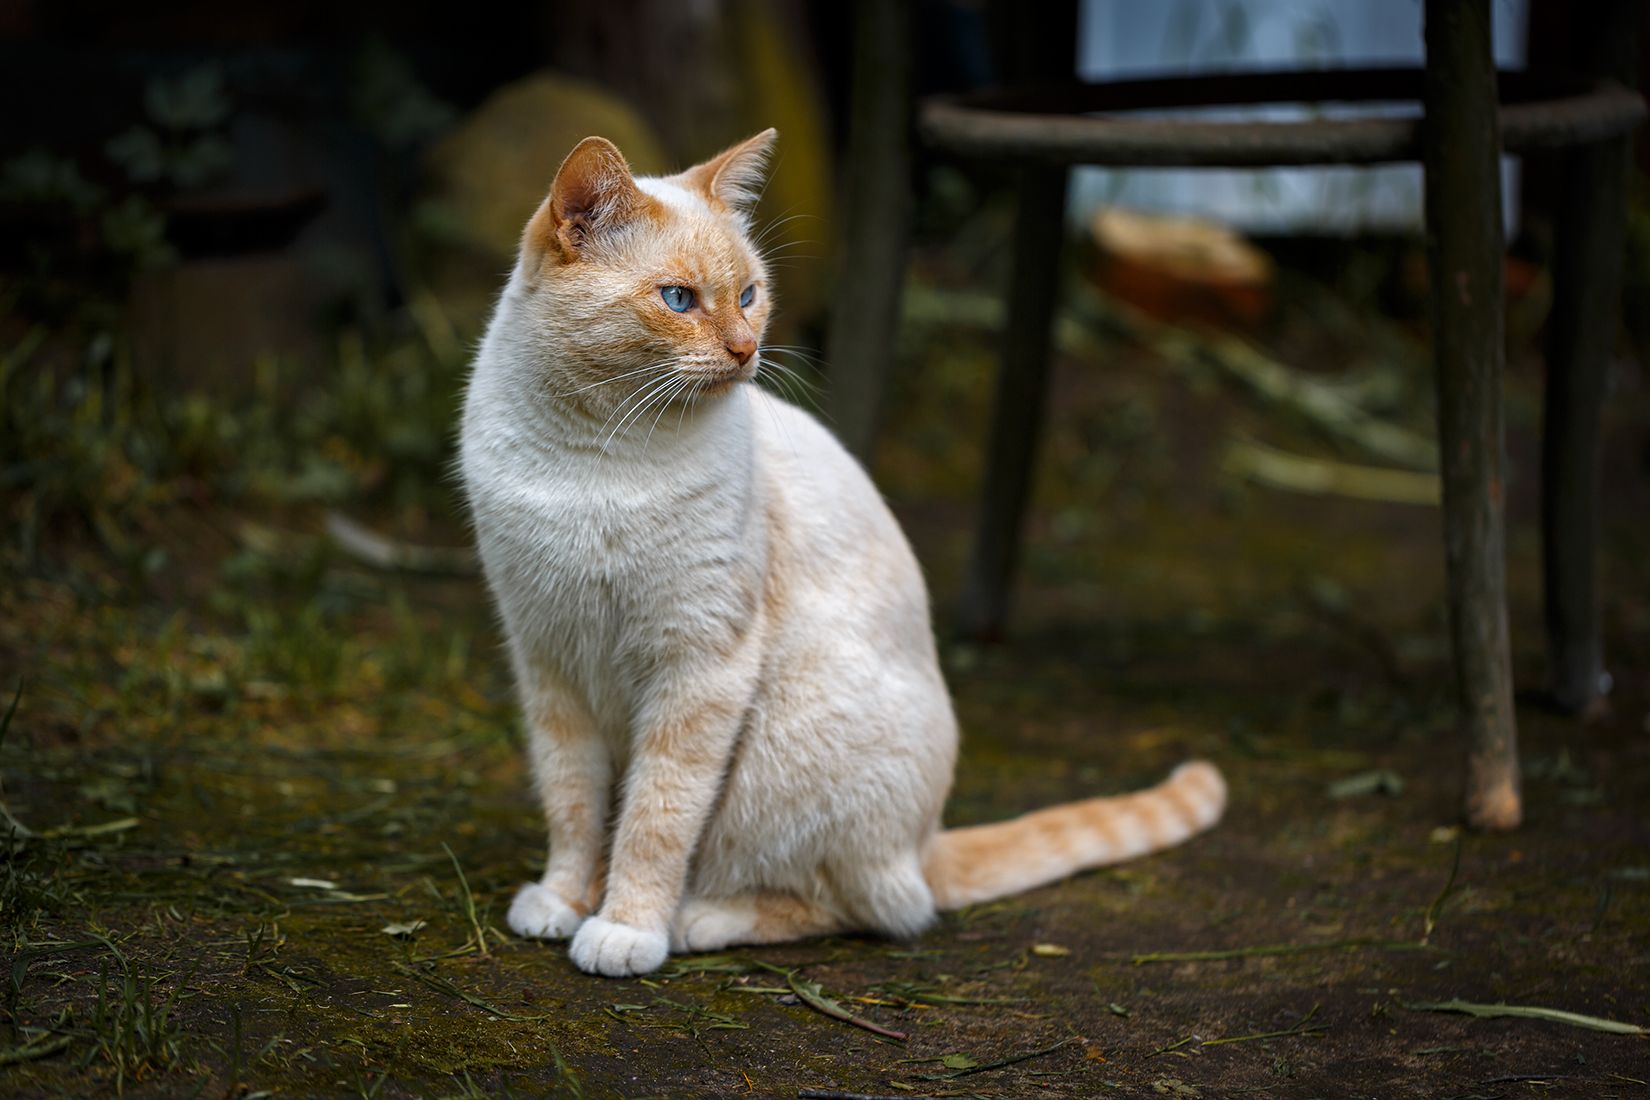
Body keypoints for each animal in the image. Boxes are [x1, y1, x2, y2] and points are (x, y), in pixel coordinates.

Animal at [455, 131, 1227, 982]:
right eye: (679, 300)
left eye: (750, 294)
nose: (746, 349)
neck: (597, 454)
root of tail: (926, 842)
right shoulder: (548, 662)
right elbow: (573, 806)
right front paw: (564, 900)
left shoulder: (698, 669)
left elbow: (655, 819)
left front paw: (625, 927)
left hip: (778, 767)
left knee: (870, 906)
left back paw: (701, 919)